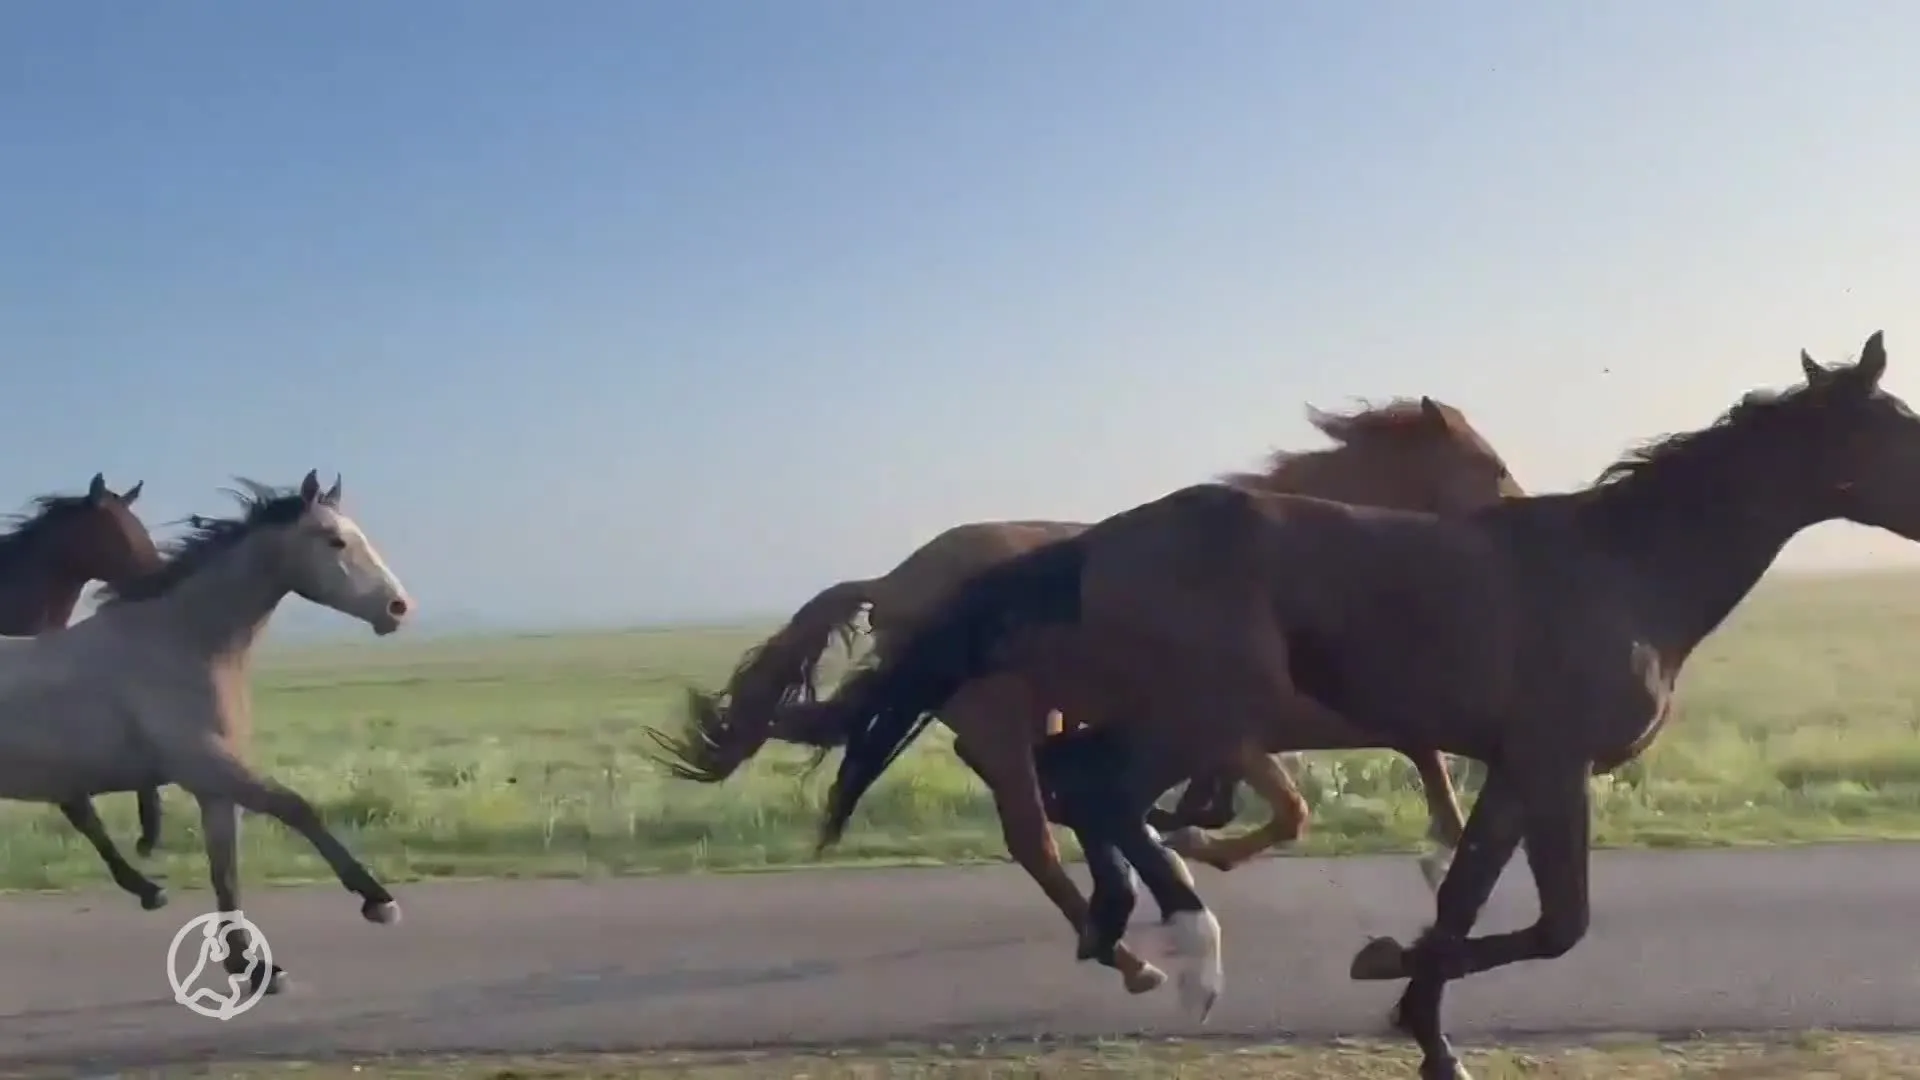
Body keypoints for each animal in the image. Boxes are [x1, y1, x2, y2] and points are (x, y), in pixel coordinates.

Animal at [21, 470, 413, 996]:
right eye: (335, 540)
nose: (398, 607)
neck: (176, 641)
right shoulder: (205, 763)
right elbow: (295, 808)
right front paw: (378, 901)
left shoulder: (214, 786)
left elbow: (225, 870)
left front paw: (257, 968)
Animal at [651, 396, 1523, 995]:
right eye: (1494, 467)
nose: (1521, 518)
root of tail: (894, 582)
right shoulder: (1241, 721)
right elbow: (1284, 807)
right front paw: (1193, 847)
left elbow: (1405, 768)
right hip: (1004, 712)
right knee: (1032, 832)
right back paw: (1130, 955)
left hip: (1026, 709)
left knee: (1039, 798)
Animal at [807, 330, 1920, 1079]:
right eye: (1902, 426)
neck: (1626, 569)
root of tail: (1090, 546)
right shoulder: (1555, 764)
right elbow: (1557, 922)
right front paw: (1386, 963)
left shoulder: (1514, 767)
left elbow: (1468, 891)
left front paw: (1430, 1032)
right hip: (1206, 709)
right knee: (1089, 792)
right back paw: (1187, 950)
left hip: (1163, 716)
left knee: (1072, 789)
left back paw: (1126, 928)